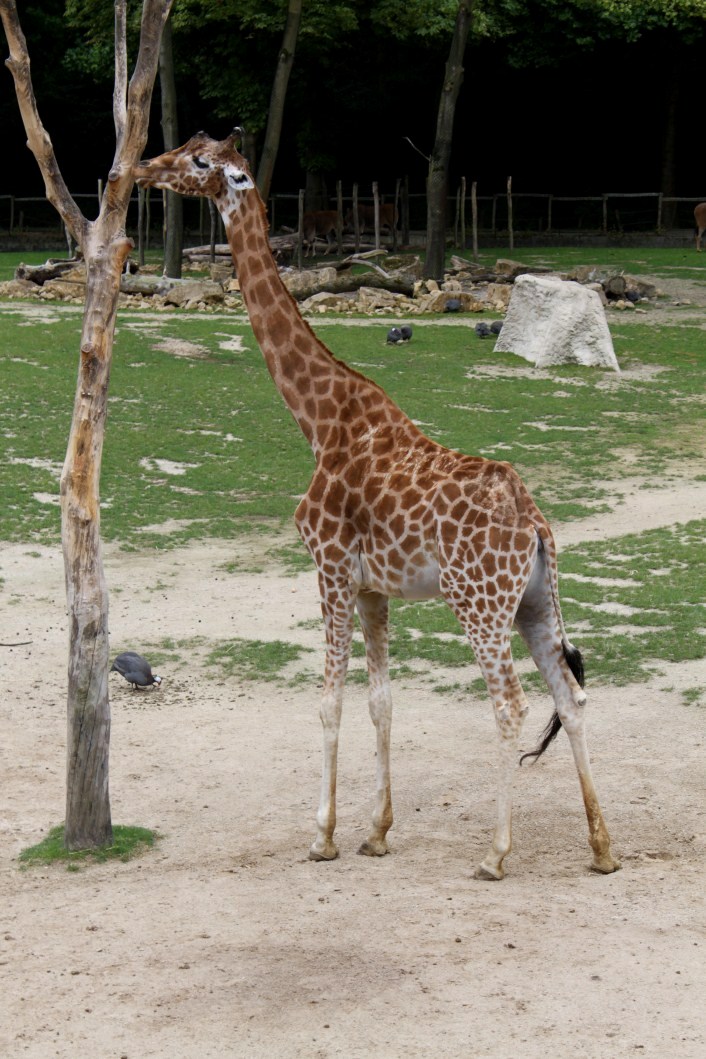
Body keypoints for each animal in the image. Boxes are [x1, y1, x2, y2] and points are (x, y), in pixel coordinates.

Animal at [134, 132, 619, 880]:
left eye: (200, 163)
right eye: (188, 148)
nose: (139, 169)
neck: (318, 420)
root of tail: (536, 525)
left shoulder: (329, 567)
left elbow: (329, 701)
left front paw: (323, 835)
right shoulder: (372, 586)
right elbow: (381, 700)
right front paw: (378, 830)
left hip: (479, 603)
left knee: (510, 705)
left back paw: (496, 853)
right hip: (536, 600)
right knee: (570, 695)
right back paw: (601, 848)